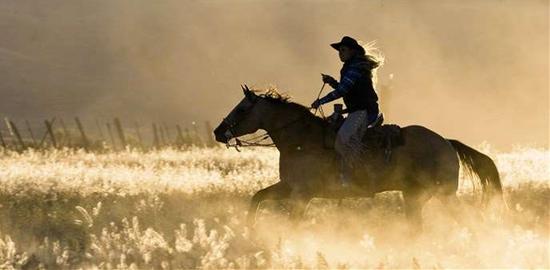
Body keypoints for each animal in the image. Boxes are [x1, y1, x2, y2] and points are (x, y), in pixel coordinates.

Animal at [213, 87, 506, 232]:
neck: (301, 140)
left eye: (242, 108)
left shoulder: (301, 194)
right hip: (414, 196)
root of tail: (446, 142)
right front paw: (251, 229)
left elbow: (292, 221)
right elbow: (257, 198)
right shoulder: (288, 187)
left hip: (440, 194)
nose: (218, 131)